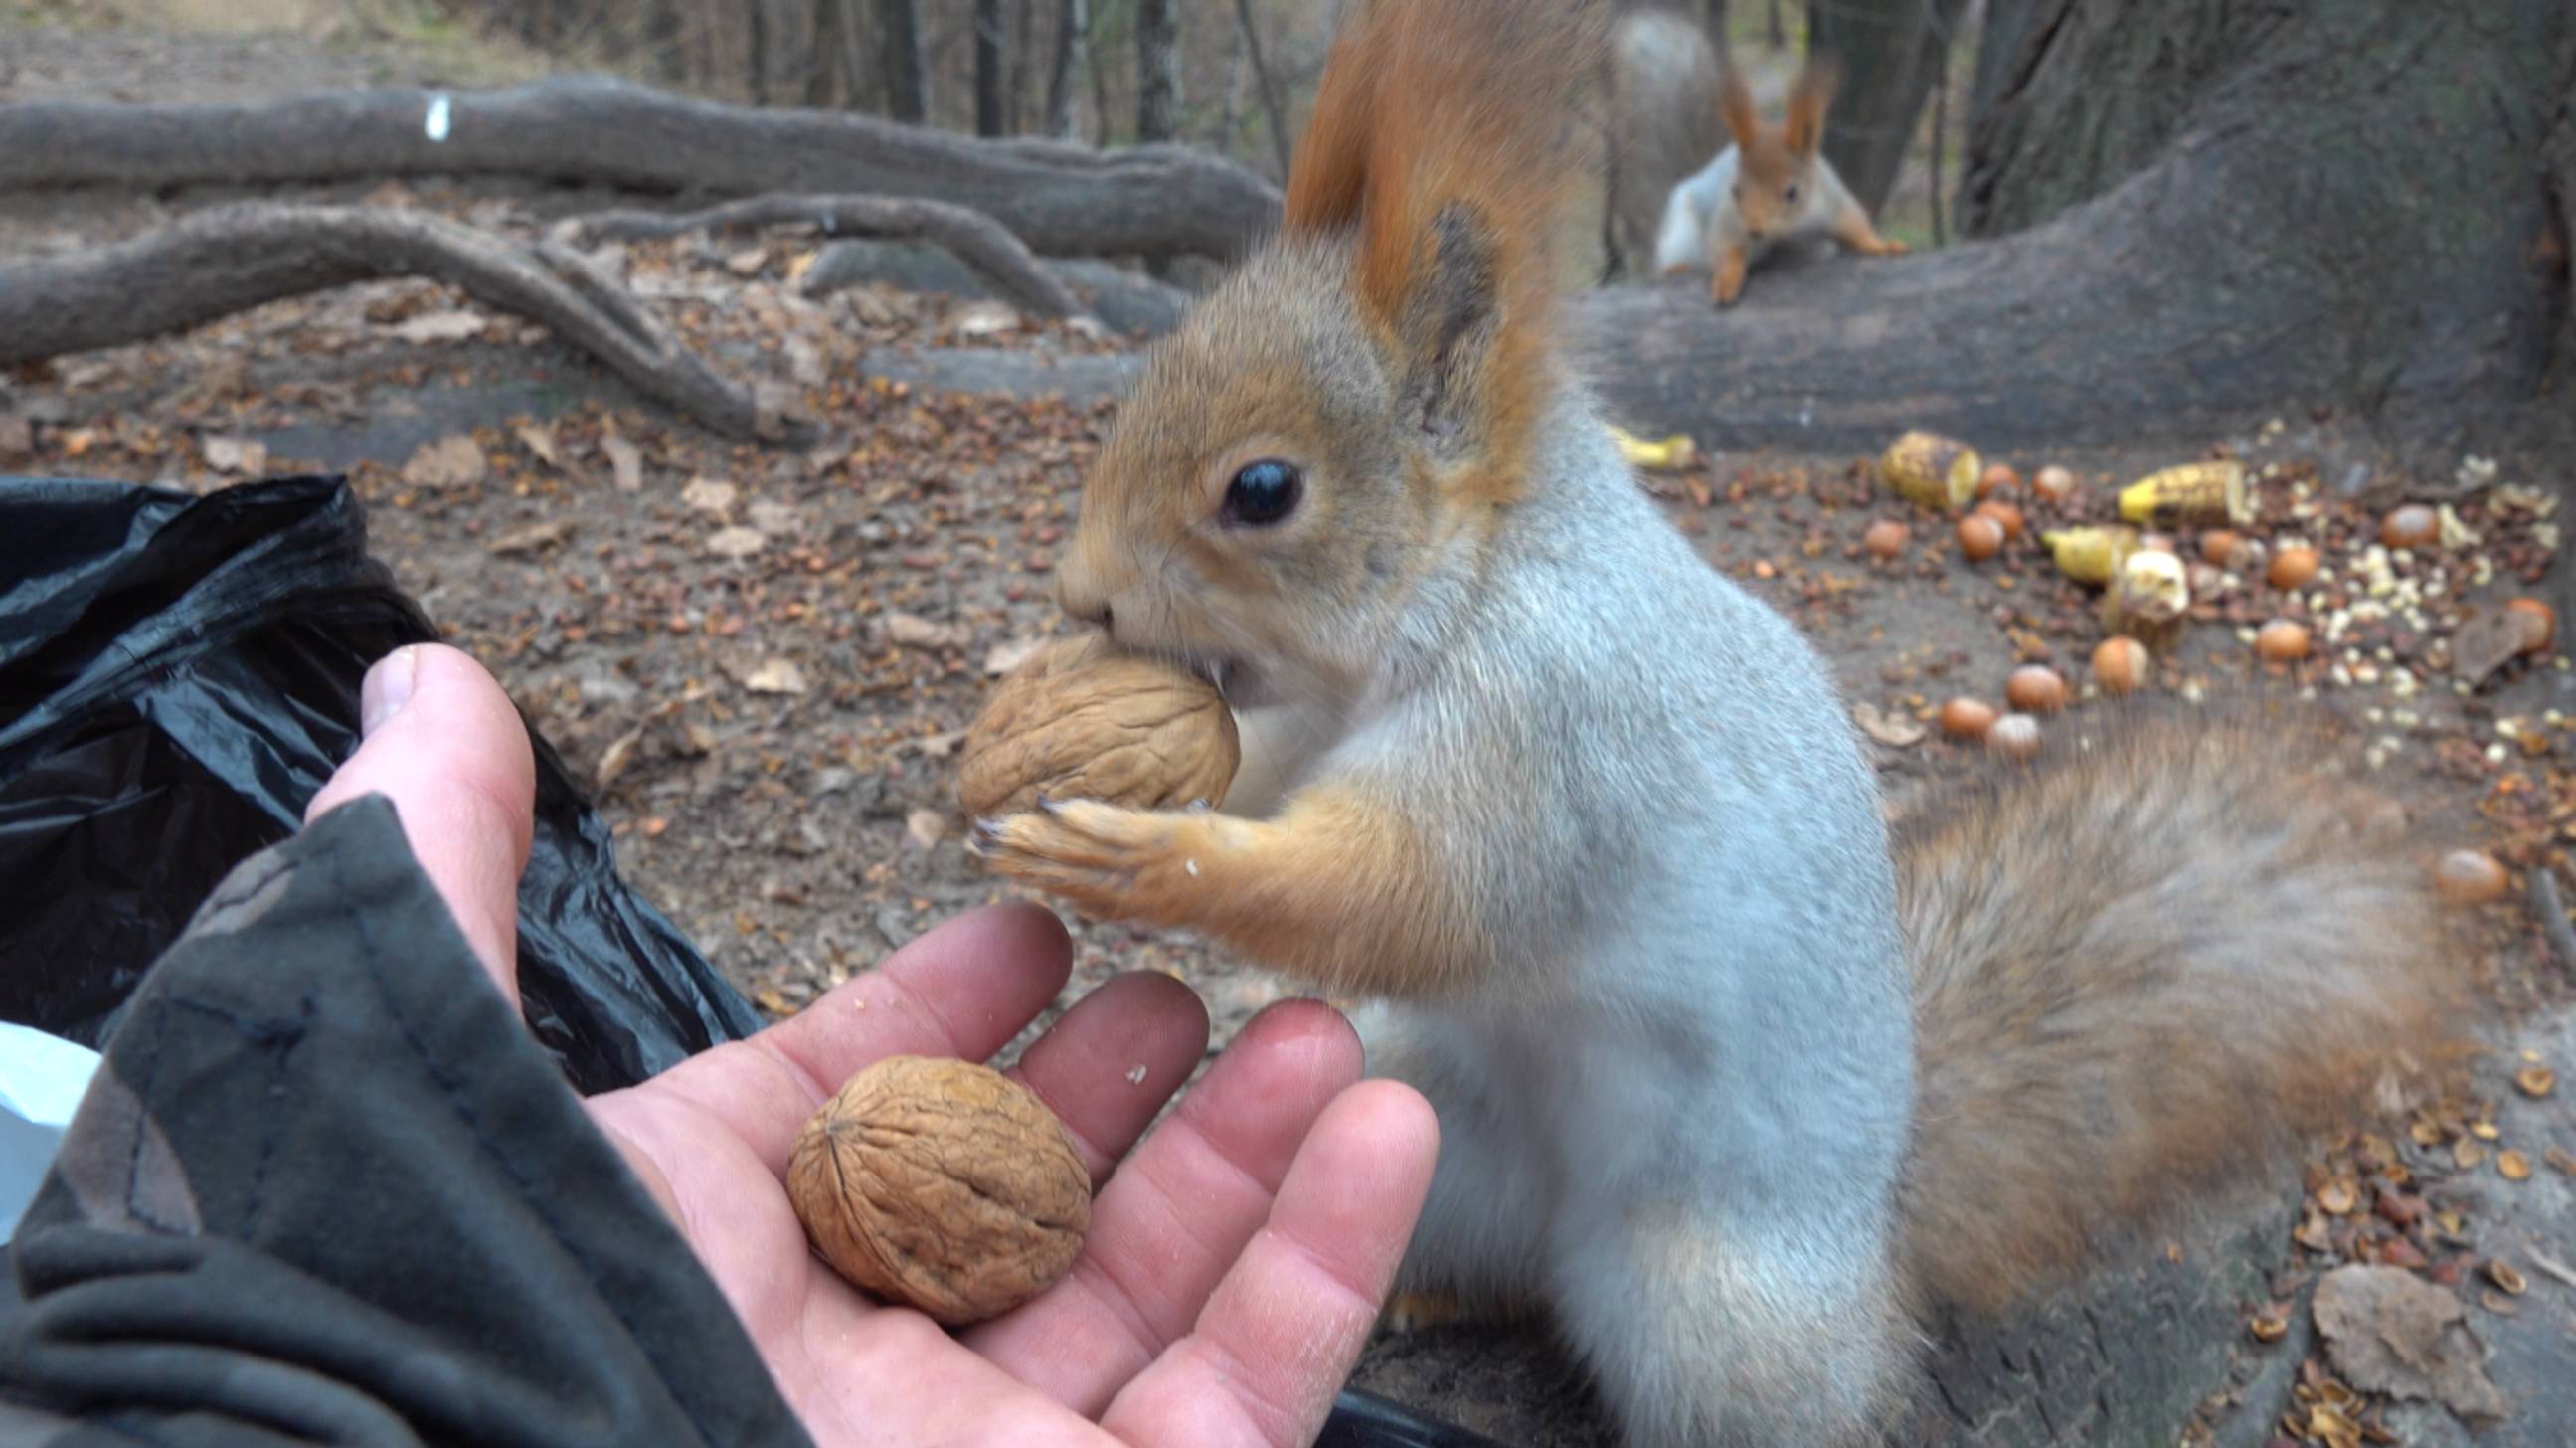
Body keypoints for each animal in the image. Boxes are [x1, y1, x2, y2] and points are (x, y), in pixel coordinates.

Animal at [1651, 55, 1909, 305]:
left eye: (1791, 192)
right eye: (1735, 190)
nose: (1754, 229)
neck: (1789, 230)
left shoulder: (1832, 199)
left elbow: (1856, 225)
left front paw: (1882, 246)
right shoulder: (1730, 218)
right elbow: (1725, 247)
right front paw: (1726, 280)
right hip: (1681, 230)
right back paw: (1678, 267)